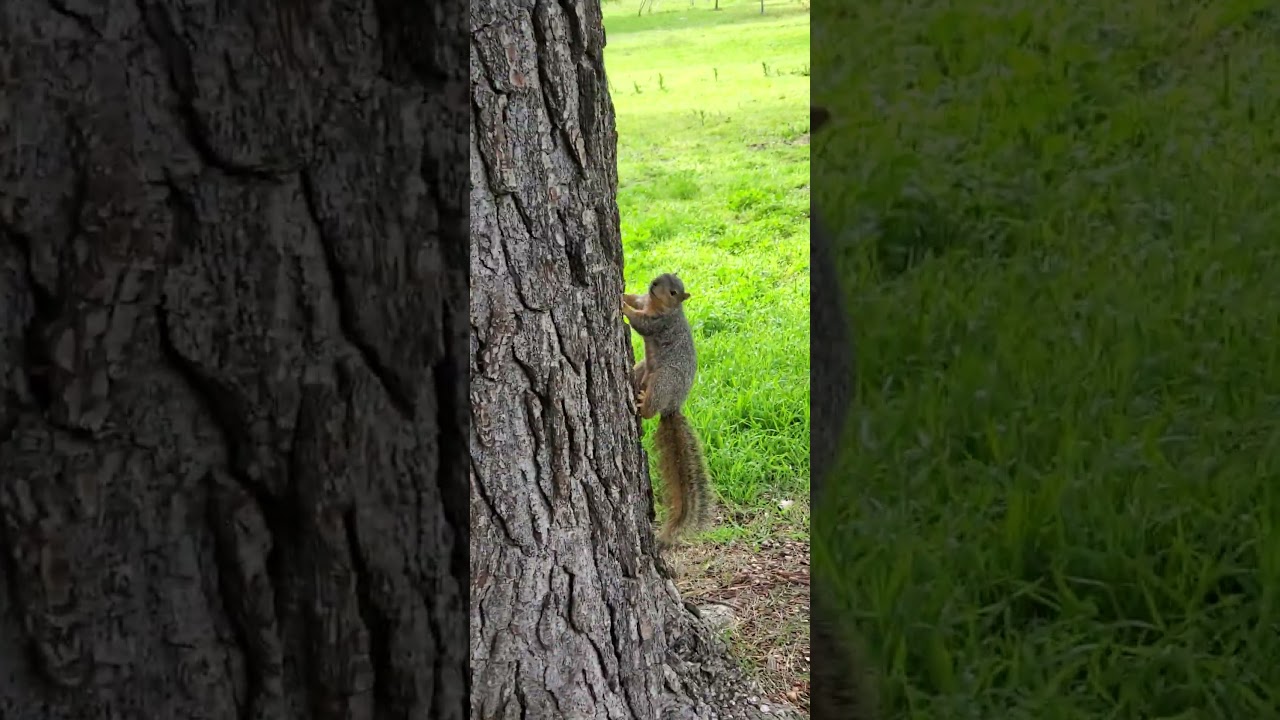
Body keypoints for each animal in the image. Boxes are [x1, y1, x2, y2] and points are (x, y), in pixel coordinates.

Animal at [620, 273, 712, 547]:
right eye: (661, 277)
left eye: (673, 292)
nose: (653, 284)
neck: (658, 306)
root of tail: (672, 407)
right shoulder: (645, 300)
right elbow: (637, 299)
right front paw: (625, 293)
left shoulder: (659, 324)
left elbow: (641, 323)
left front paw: (623, 306)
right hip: (643, 368)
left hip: (663, 380)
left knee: (651, 408)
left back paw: (643, 406)